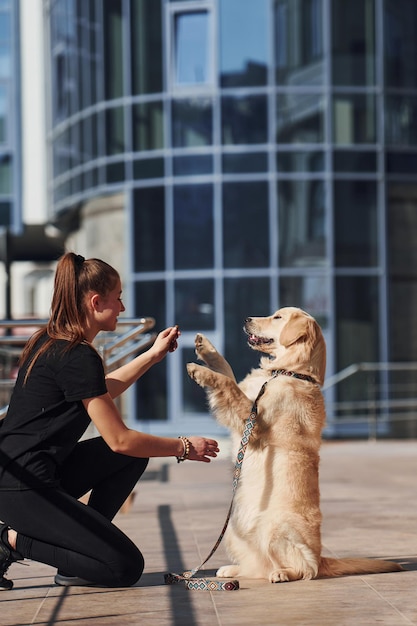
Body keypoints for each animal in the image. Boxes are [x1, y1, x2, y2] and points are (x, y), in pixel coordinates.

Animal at [187, 306, 402, 580]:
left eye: (277, 317)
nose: (247, 318)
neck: (288, 372)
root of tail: (321, 558)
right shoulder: (248, 397)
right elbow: (227, 371)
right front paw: (206, 348)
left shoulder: (254, 423)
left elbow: (226, 383)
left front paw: (200, 371)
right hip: (235, 531)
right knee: (258, 566)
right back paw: (234, 569)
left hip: (276, 529)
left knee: (305, 568)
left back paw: (283, 573)